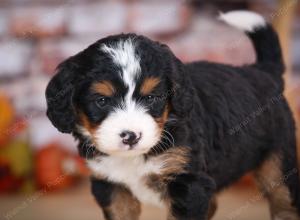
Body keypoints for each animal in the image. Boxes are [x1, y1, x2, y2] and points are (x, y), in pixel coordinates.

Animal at [45, 11, 300, 220]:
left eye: (151, 98)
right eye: (102, 100)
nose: (130, 136)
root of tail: (262, 71)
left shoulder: (188, 183)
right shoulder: (111, 185)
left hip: (278, 160)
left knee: (284, 199)